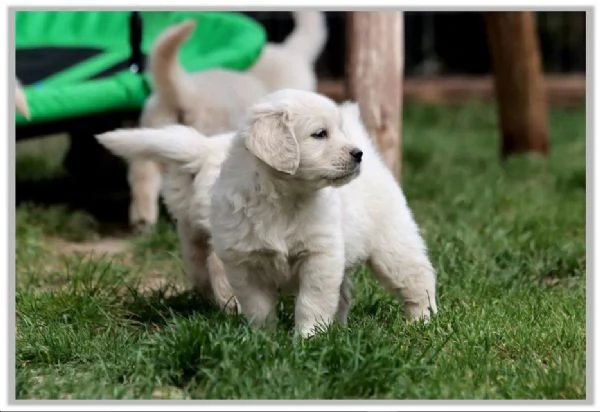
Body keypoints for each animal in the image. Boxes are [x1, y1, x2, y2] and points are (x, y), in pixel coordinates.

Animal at [97, 88, 436, 336]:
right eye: (320, 134)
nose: (357, 155)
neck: (283, 199)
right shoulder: (242, 262)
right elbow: (258, 306)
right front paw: (264, 340)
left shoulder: (319, 255)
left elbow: (312, 302)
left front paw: (308, 340)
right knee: (343, 295)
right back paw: (339, 331)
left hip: (392, 244)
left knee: (417, 280)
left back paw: (422, 323)